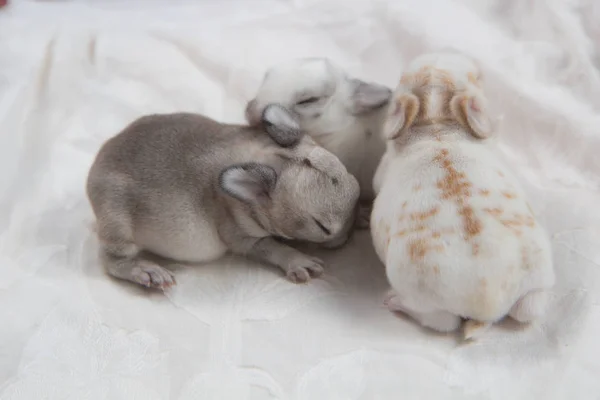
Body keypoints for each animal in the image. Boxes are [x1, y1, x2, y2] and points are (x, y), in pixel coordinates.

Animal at [86, 104, 358, 290]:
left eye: (356, 189)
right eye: (323, 228)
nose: (347, 235)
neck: (259, 154)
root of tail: (98, 161)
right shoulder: (241, 234)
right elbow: (271, 246)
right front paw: (296, 259)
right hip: (116, 215)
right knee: (112, 258)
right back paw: (143, 269)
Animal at [372, 49, 556, 338]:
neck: (437, 124)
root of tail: (488, 306)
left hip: (425, 301)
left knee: (442, 322)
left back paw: (392, 301)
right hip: (536, 289)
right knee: (528, 310)